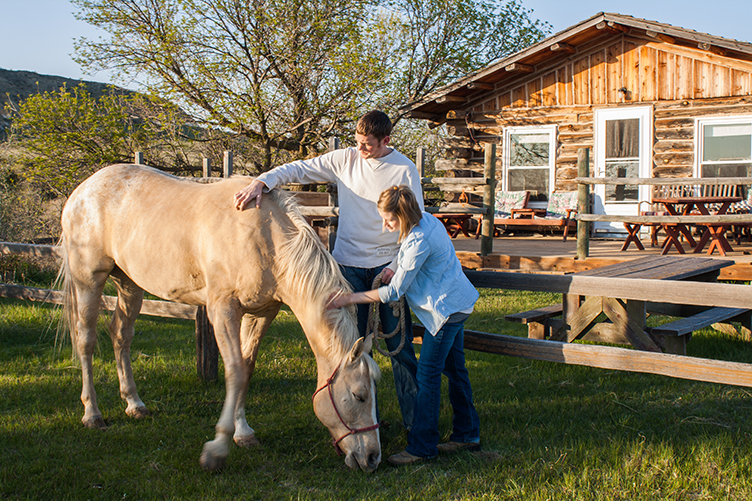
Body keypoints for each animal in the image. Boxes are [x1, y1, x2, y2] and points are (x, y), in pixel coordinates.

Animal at [58, 163, 382, 468]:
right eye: (359, 395)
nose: (372, 458)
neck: (266, 239)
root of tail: (84, 189)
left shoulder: (262, 313)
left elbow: (247, 369)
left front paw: (243, 433)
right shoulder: (222, 310)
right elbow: (235, 372)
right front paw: (217, 449)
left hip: (129, 284)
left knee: (121, 336)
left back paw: (134, 404)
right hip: (89, 280)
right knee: (86, 341)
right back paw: (92, 414)